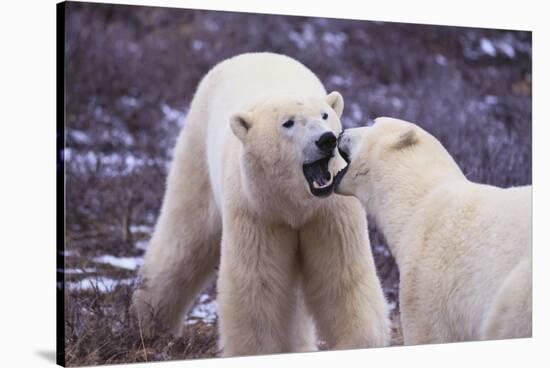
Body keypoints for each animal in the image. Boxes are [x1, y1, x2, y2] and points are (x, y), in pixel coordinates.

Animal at [338, 118, 532, 344]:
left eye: (373, 122)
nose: (340, 133)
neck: (418, 199)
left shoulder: (427, 279)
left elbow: (427, 331)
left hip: (517, 292)